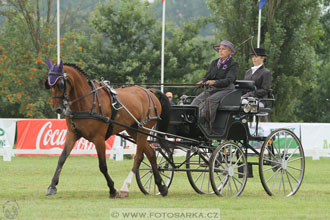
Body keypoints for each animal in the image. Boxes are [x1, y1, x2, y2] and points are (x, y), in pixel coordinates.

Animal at [43, 58, 170, 198]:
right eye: (49, 85)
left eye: (60, 84)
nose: (58, 109)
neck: (87, 101)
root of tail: (149, 92)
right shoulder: (72, 134)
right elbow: (62, 158)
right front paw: (52, 186)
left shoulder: (98, 138)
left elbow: (102, 165)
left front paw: (112, 189)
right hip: (133, 129)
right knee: (151, 154)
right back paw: (161, 187)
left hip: (144, 129)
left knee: (138, 157)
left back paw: (125, 188)